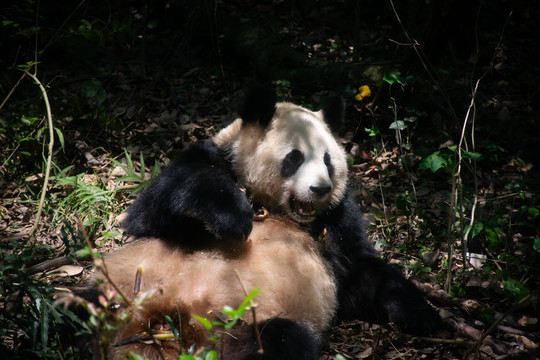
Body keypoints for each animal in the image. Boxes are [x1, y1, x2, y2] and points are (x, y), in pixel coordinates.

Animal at [92, 87, 438, 360]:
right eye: (295, 158)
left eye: (328, 160)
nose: (321, 189)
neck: (272, 209)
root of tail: (170, 331)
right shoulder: (211, 160)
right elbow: (154, 210)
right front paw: (232, 220)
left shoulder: (337, 214)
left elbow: (361, 269)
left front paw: (428, 316)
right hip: (118, 290)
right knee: (80, 311)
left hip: (241, 329)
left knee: (282, 340)